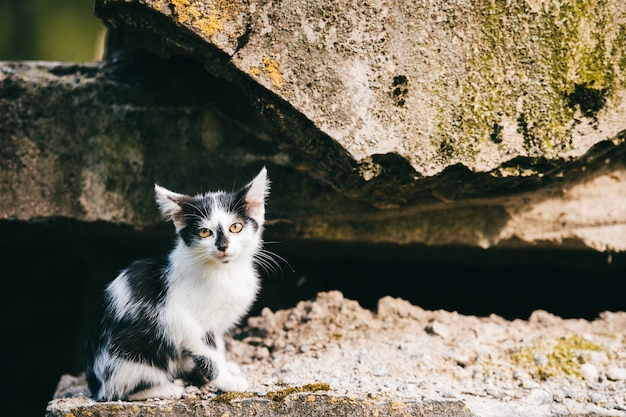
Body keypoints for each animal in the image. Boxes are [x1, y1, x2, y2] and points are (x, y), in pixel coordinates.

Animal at [84, 167, 268, 402]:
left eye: (236, 227)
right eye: (204, 232)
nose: (223, 246)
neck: (223, 272)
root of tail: (94, 385)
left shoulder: (215, 326)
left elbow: (218, 349)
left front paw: (228, 368)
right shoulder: (187, 322)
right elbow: (209, 355)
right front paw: (229, 382)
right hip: (131, 353)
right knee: (115, 393)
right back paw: (169, 388)